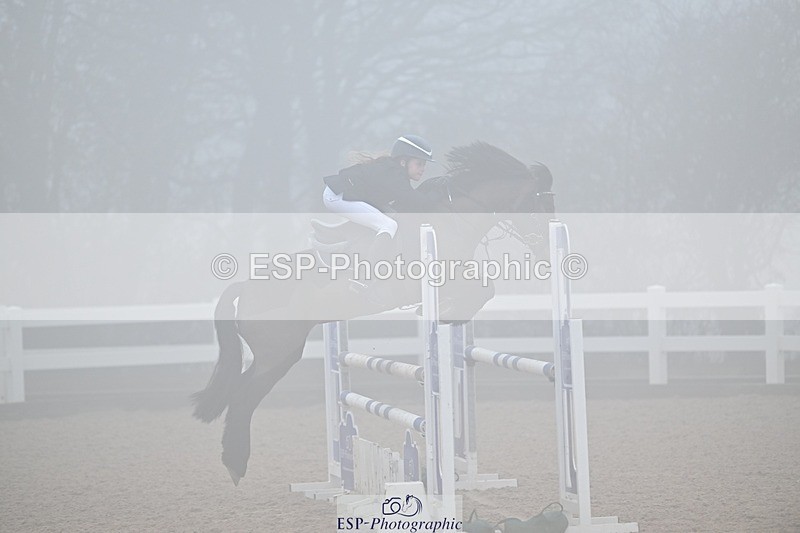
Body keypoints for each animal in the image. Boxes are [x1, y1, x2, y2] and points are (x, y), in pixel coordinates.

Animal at [192, 142, 555, 485]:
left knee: (240, 393)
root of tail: (245, 287)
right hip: (278, 354)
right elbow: (482, 289)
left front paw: (447, 313)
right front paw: (447, 313)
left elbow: (483, 289)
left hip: (276, 355)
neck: (452, 217)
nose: (546, 254)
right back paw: (235, 463)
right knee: (243, 397)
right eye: (538, 204)